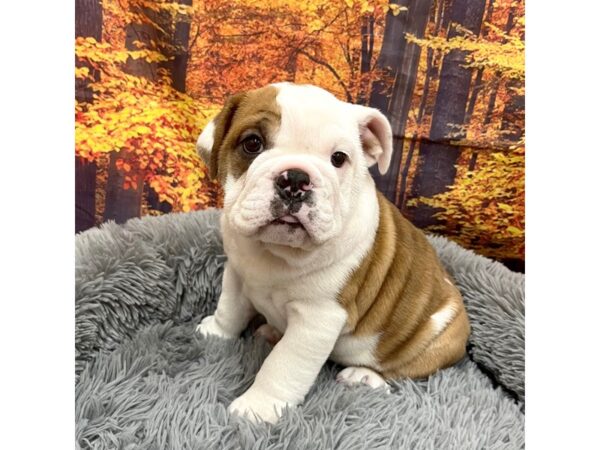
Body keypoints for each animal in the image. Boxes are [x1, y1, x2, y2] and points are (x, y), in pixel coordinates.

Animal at [195, 82, 472, 424]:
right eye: (252, 143)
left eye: (338, 158)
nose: (295, 178)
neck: (277, 251)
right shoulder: (236, 274)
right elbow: (230, 309)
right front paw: (216, 332)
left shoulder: (318, 319)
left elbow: (282, 366)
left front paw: (257, 408)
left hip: (435, 341)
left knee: (401, 372)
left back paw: (364, 376)